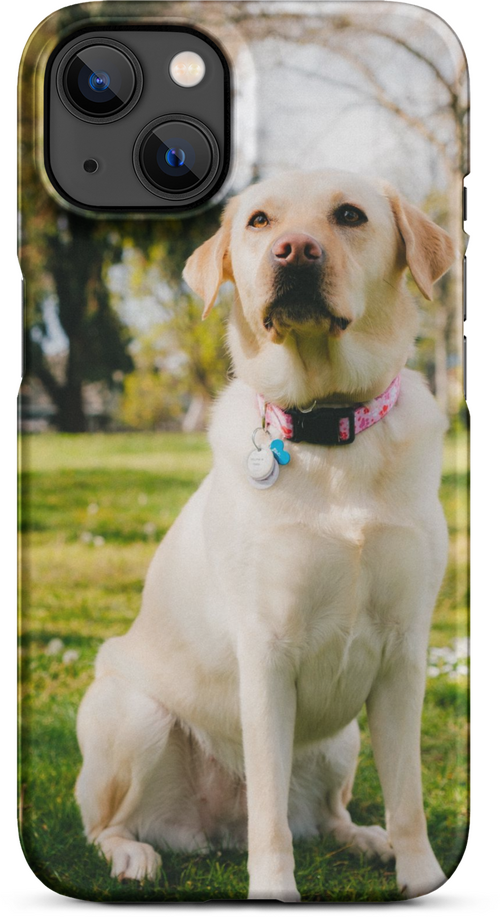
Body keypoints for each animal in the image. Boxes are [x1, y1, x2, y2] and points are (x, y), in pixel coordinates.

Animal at [75, 168, 458, 900]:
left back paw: (366, 839)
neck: (330, 429)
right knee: (110, 826)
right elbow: (271, 819)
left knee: (327, 813)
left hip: (342, 741)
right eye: (259, 222)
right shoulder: (268, 653)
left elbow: (409, 798)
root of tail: (213, 830)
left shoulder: (403, 654)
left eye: (349, 215)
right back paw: (132, 853)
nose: (294, 251)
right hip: (134, 716)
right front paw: (274, 887)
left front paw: (419, 874)